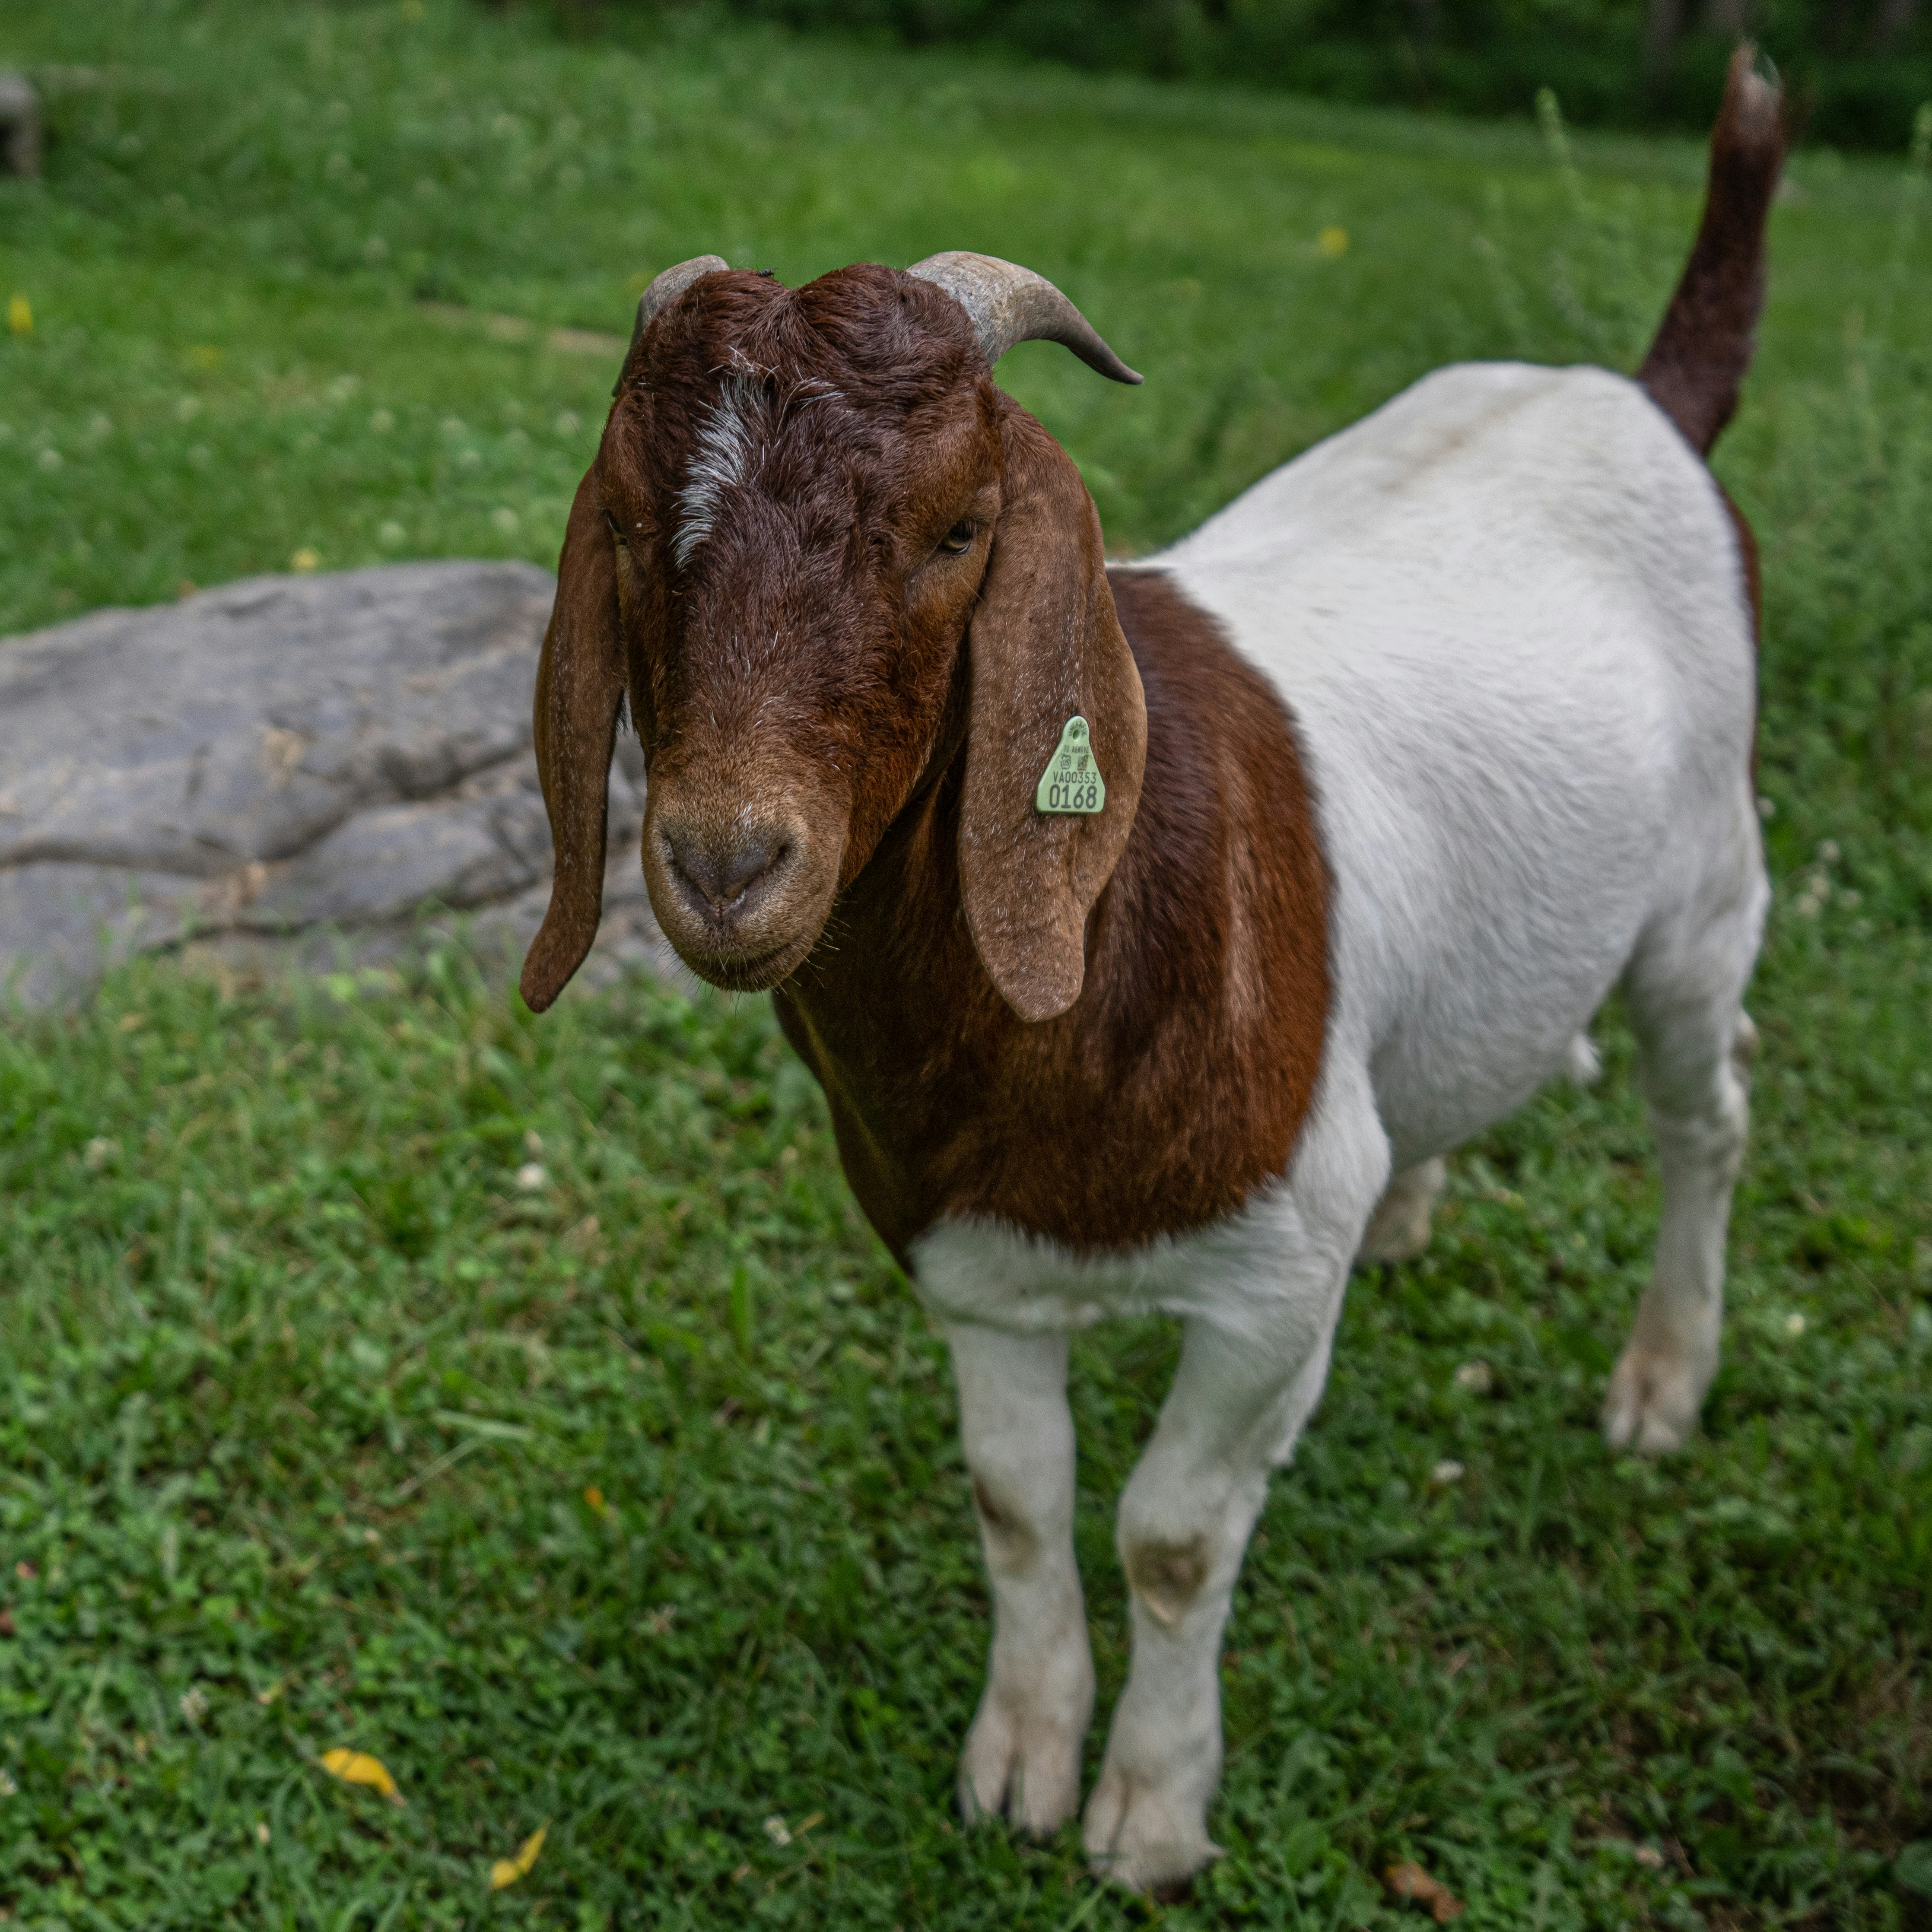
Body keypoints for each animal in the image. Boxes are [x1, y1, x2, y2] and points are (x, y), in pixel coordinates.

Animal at [520, 50, 1785, 1894]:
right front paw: (1020, 1762)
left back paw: (1660, 1380)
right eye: (630, 525)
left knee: (1706, 1115)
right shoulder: (966, 1262)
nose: (726, 862)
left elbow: (1175, 1533)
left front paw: (1152, 1811)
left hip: (1700, 896)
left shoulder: (1268, 1283)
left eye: (959, 527)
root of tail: (1641, 399)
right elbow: (1018, 1502)